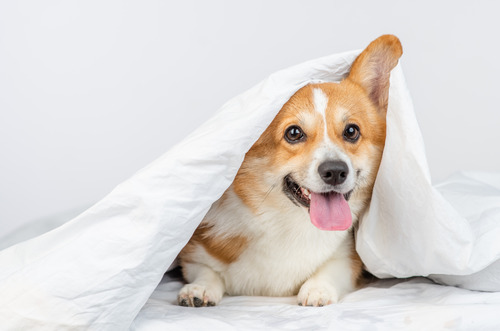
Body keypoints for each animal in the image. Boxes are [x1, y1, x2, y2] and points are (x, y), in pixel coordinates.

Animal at [177, 35, 402, 308]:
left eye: (351, 131)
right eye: (293, 133)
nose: (335, 172)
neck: (287, 223)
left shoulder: (348, 257)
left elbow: (332, 269)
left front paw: (317, 289)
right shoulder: (194, 251)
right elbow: (205, 270)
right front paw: (199, 289)